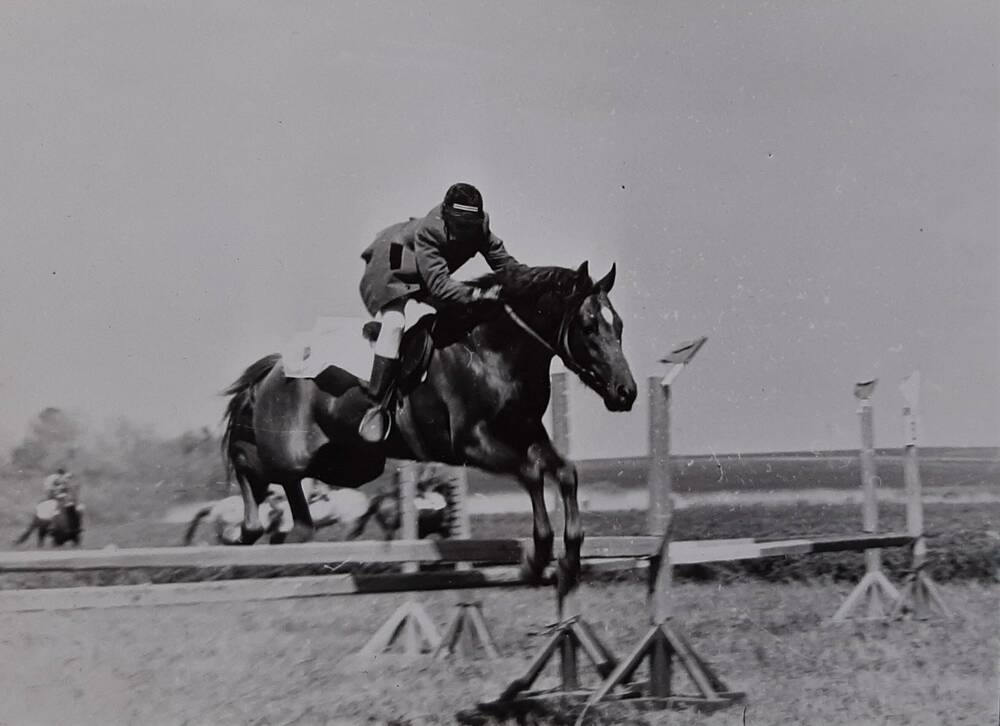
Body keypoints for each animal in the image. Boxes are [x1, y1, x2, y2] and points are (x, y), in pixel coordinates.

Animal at [223, 264, 636, 596]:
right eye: (588, 326)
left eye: (619, 325)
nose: (626, 392)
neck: (495, 351)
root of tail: (277, 367)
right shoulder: (474, 444)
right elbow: (533, 473)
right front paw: (536, 558)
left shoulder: (526, 434)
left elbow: (564, 472)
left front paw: (571, 556)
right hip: (293, 452)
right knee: (252, 463)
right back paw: (247, 529)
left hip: (350, 464)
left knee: (278, 484)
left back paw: (283, 530)